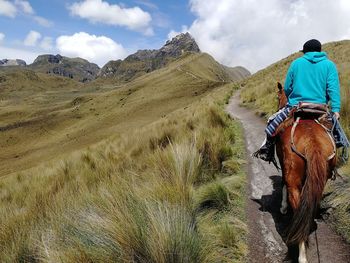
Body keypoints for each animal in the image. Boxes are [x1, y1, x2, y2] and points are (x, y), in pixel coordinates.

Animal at [274, 81, 338, 262]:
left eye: (277, 97)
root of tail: (312, 142)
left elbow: (282, 182)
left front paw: (283, 207)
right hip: (322, 176)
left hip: (293, 177)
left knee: (298, 209)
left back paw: (302, 255)